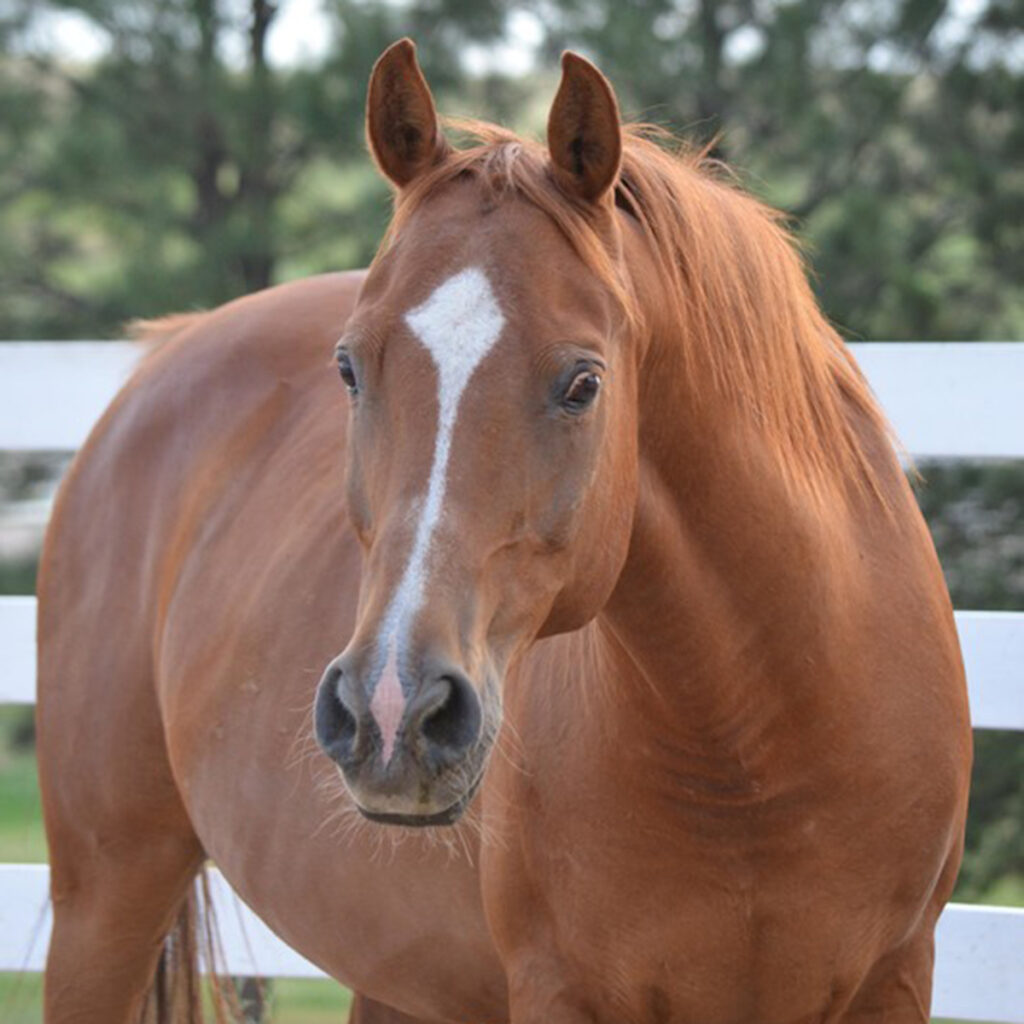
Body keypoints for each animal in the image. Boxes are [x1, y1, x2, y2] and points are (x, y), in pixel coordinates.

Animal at [36, 37, 970, 1024]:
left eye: (584, 382)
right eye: (349, 367)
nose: (392, 711)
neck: (758, 751)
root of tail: (165, 356)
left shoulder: (896, 978)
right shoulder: (558, 989)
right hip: (106, 894)